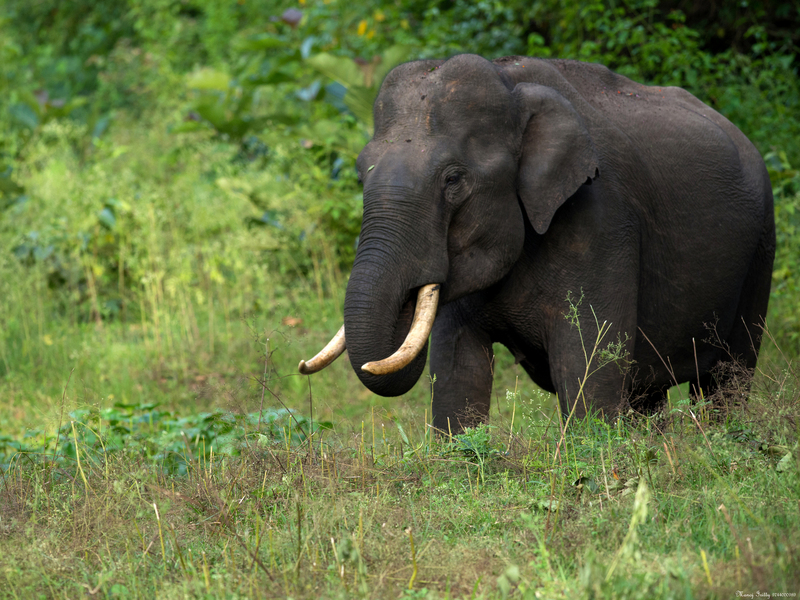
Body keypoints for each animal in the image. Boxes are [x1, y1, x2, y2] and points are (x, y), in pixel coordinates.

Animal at [296, 52, 772, 432]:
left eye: (453, 180)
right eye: (362, 174)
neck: (511, 84)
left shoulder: (603, 223)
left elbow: (587, 365)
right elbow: (457, 367)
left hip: (761, 249)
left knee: (728, 376)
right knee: (646, 391)